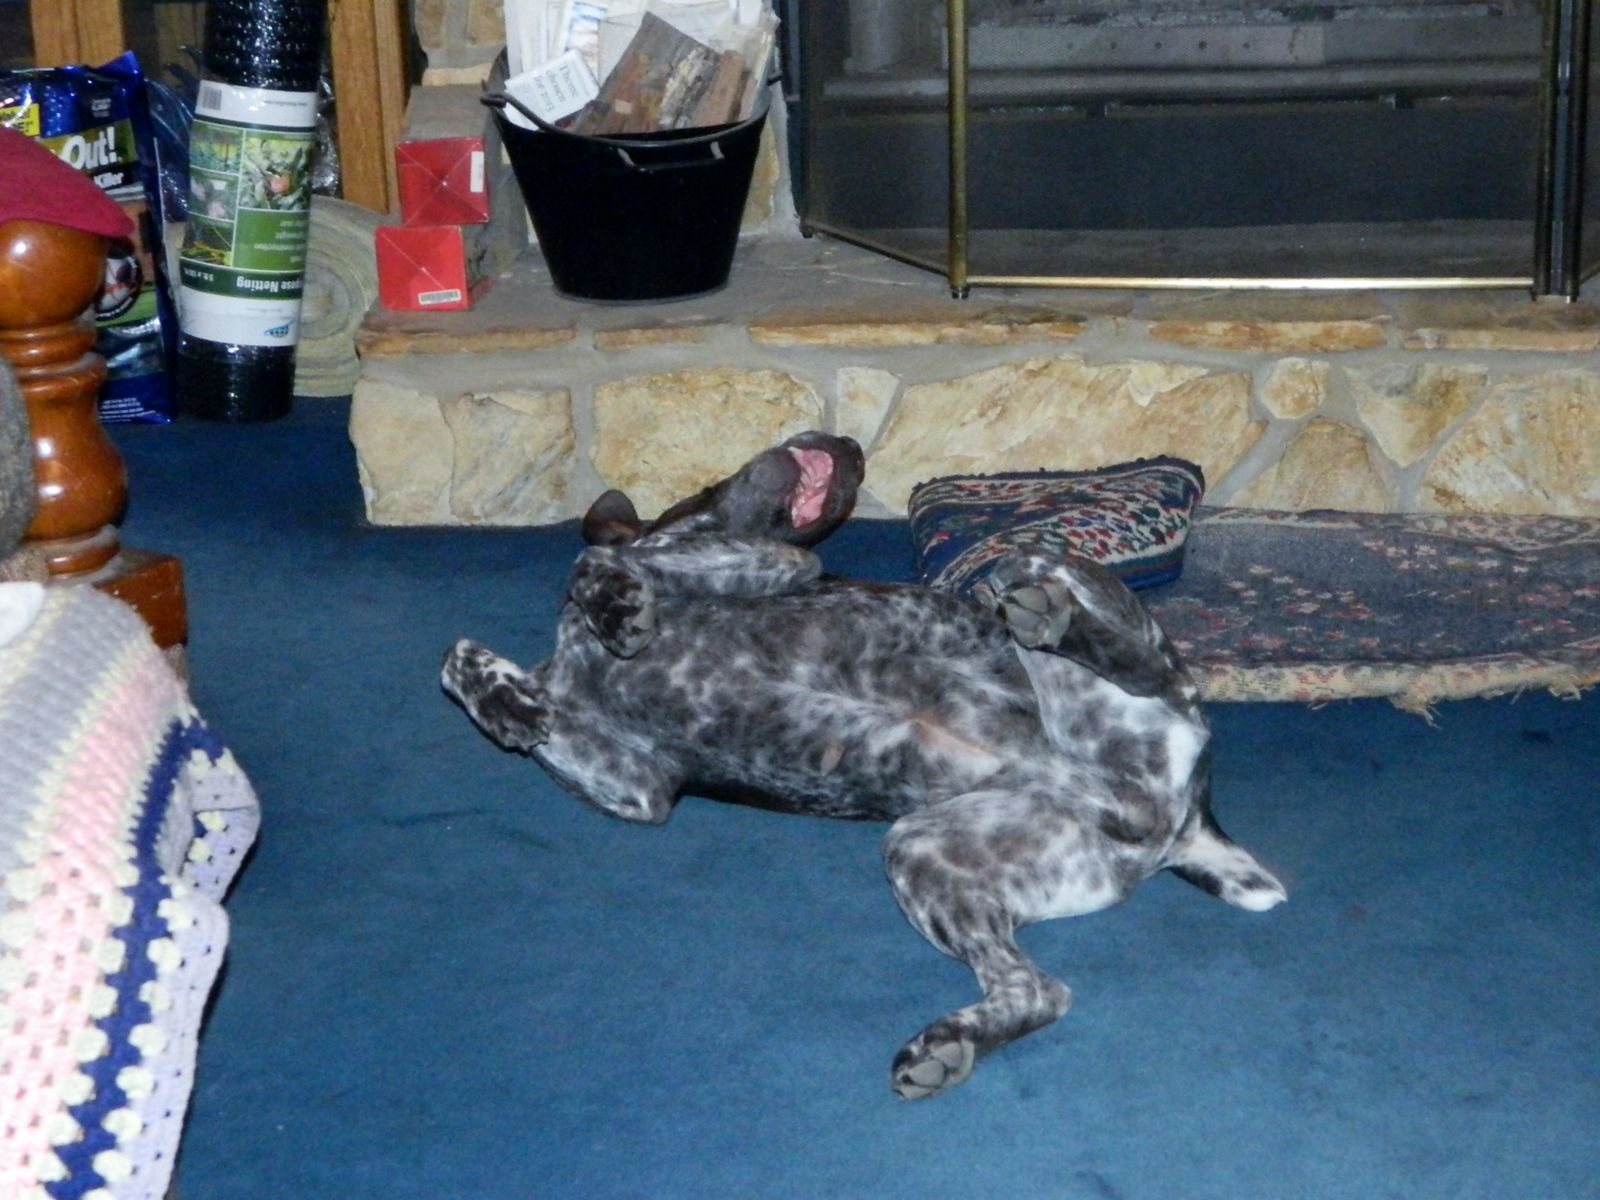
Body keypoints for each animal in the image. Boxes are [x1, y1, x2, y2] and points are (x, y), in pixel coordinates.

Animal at [442, 431, 1285, 1099]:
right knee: (1040, 989)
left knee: (1156, 670)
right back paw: (952, 1044)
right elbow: (464, 658)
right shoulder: (641, 789)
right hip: (922, 850)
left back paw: (1056, 620)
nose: (850, 445)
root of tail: (1186, 821)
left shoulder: (775, 563)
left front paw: (612, 602)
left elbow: (592, 556)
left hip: (1039, 570)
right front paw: (506, 701)